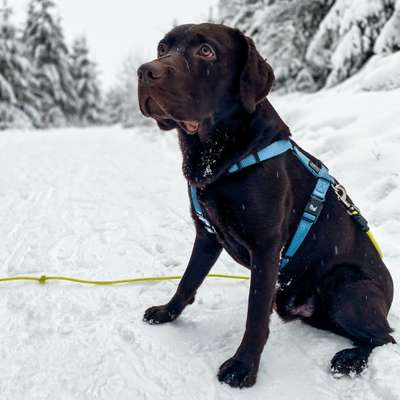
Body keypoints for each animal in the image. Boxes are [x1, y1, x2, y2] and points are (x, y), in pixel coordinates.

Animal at [137, 24, 394, 388]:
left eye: (206, 51)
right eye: (162, 47)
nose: (146, 72)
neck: (222, 156)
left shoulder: (266, 245)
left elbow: (256, 314)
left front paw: (243, 367)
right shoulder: (207, 233)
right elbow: (188, 280)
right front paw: (166, 312)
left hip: (345, 284)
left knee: (385, 337)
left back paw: (351, 360)